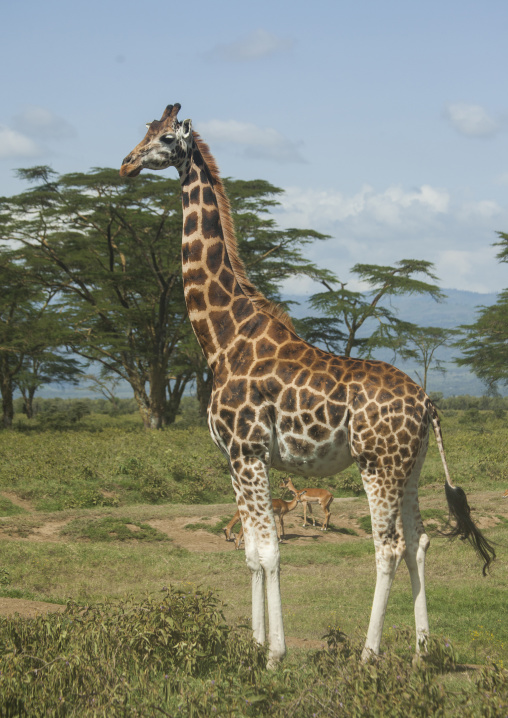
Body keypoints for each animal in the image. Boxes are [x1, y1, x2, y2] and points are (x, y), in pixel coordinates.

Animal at [120, 103, 495, 666]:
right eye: (143, 131)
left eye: (165, 138)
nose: (126, 164)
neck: (223, 339)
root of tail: (428, 402)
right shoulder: (234, 457)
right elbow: (252, 552)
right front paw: (255, 646)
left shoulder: (249, 451)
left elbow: (270, 550)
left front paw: (275, 655)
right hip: (410, 466)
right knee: (419, 540)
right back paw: (421, 652)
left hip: (377, 465)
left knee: (388, 546)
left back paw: (369, 655)